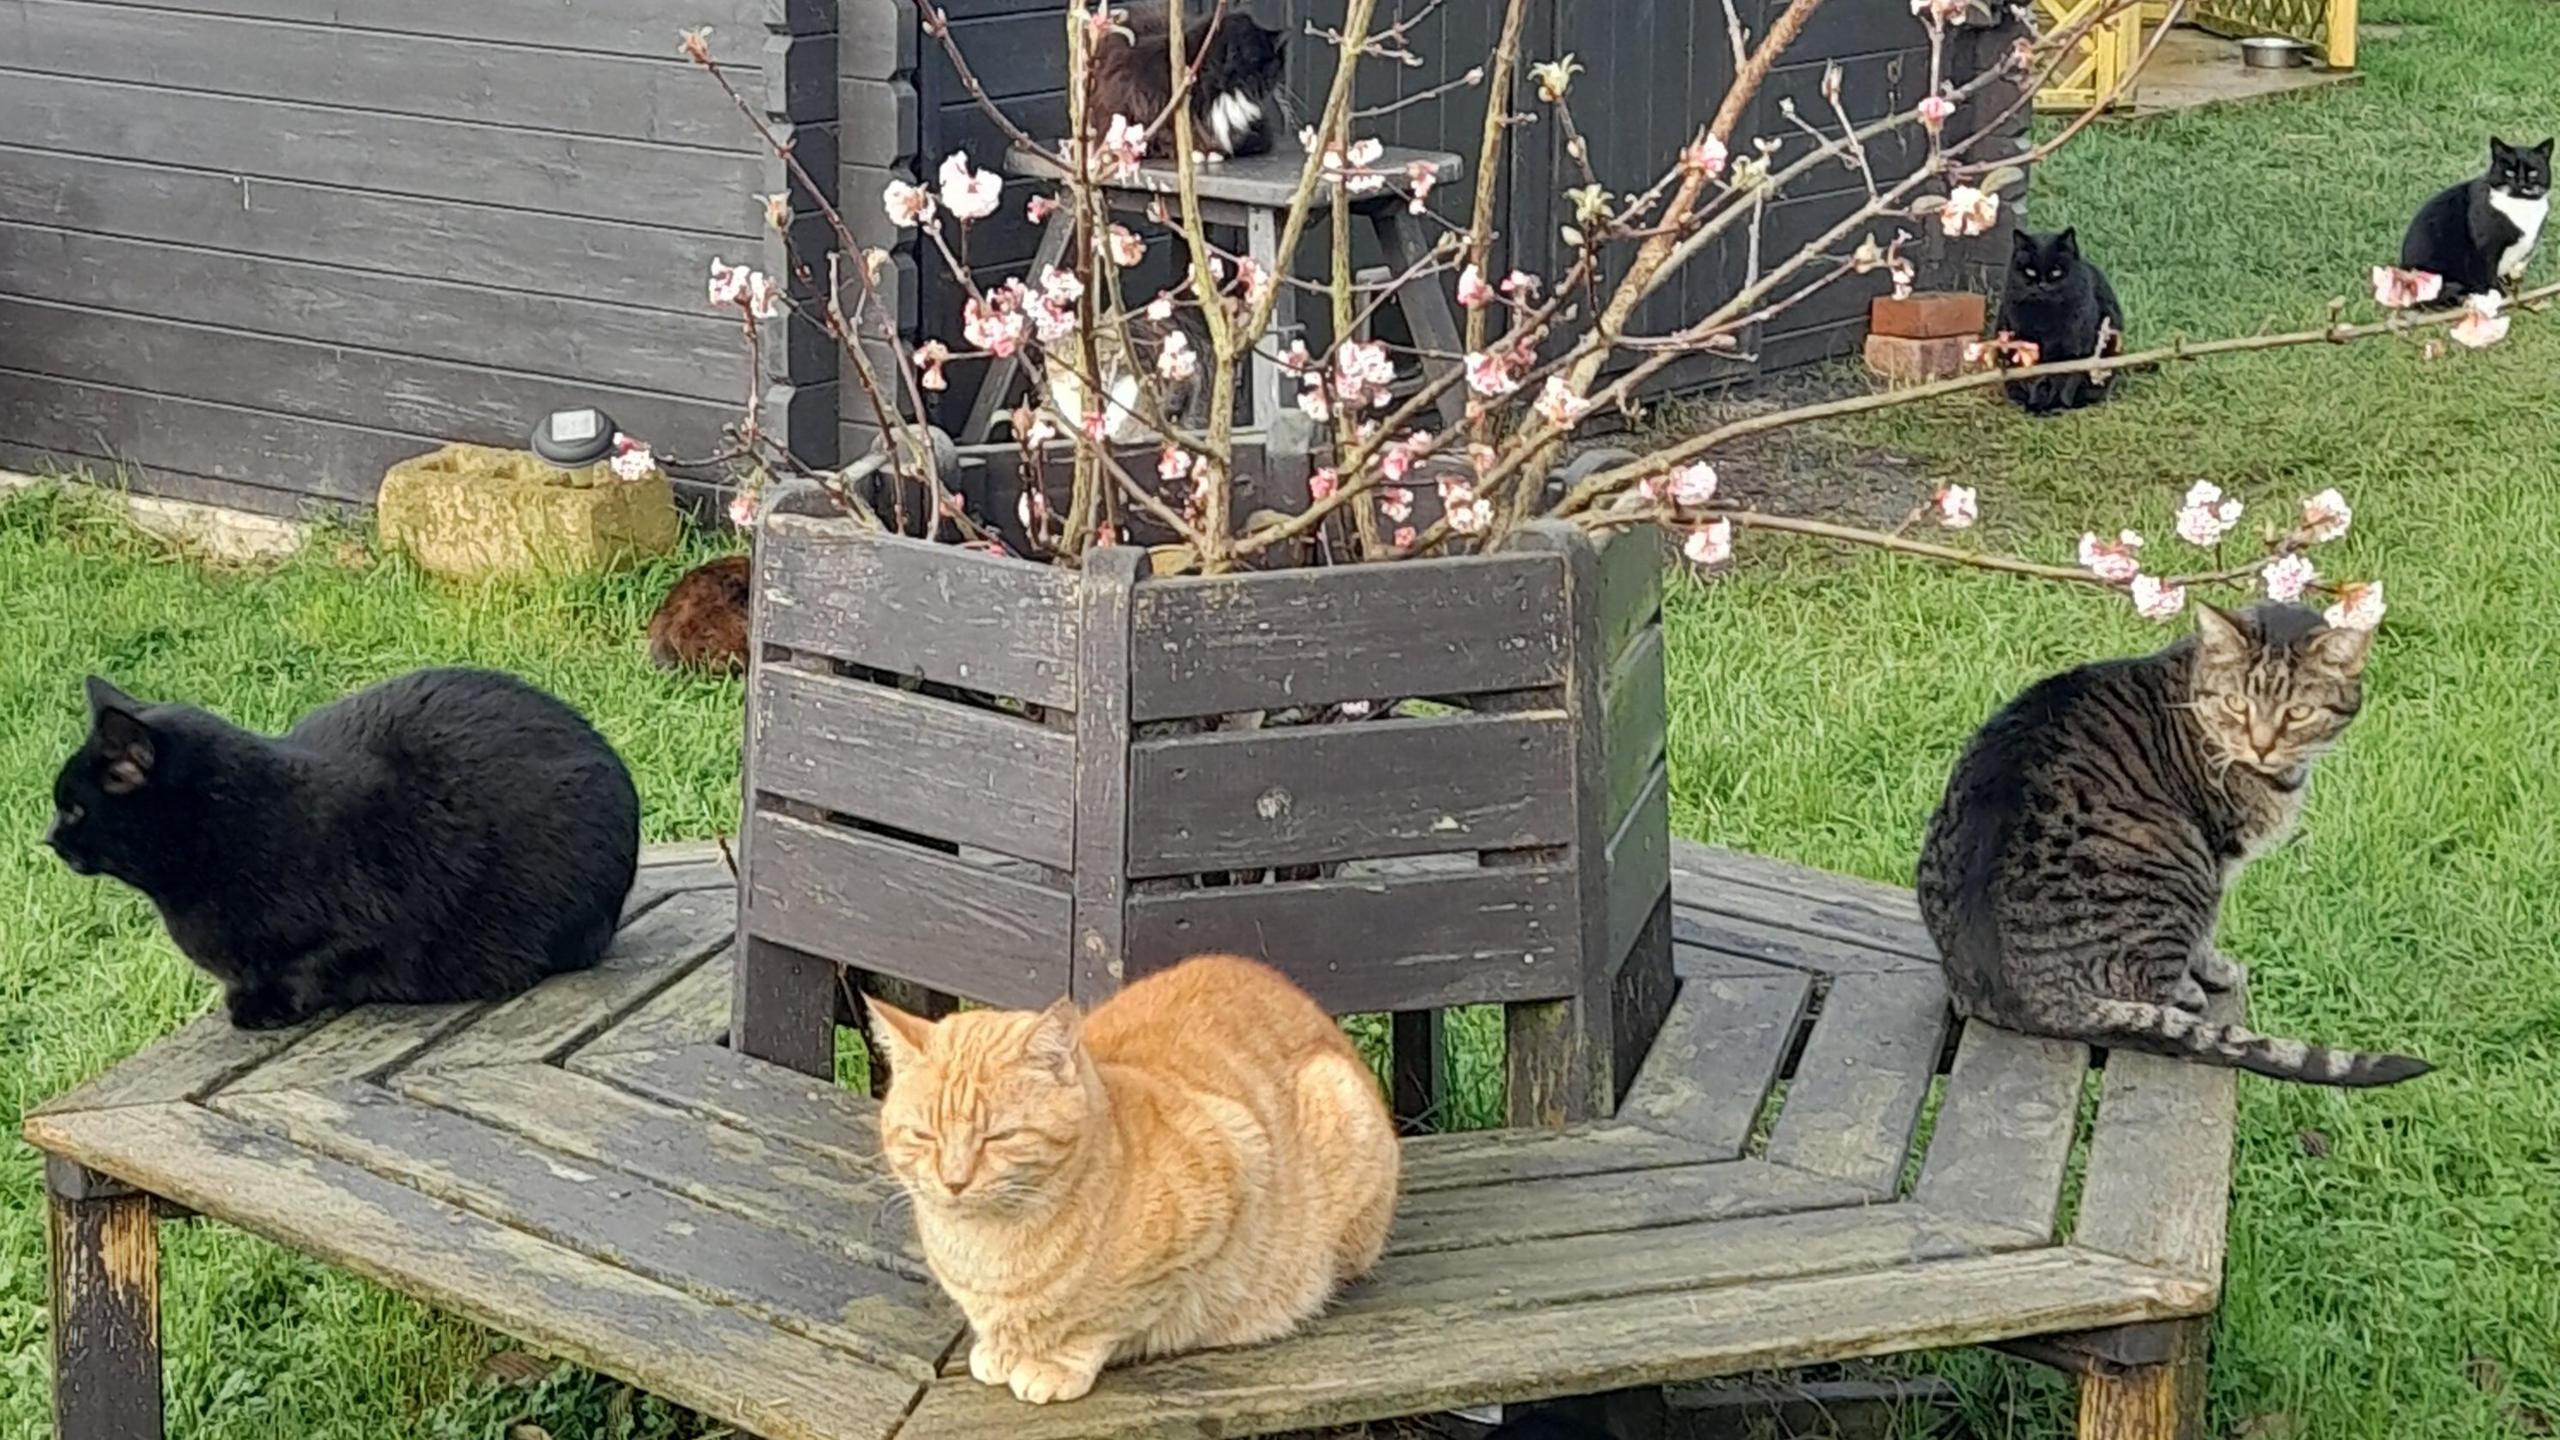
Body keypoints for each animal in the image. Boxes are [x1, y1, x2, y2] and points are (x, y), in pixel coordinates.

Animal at [875, 953, 1402, 1404]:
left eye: (999, 1136)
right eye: (924, 1135)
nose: (954, 1181)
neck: (988, 1248)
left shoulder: (1232, 1164)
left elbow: (1106, 1320)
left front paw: (1054, 1362)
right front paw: (1003, 1347)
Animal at [1925, 599, 2416, 1081]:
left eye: (2297, 712)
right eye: (2237, 703)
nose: (2260, 747)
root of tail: (2021, 993)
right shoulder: (2220, 858)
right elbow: (2207, 934)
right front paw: (2215, 970)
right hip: (2180, 871)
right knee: (2153, 985)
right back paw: (2187, 992)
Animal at [1986, 226, 2129, 412]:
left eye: (2056, 271)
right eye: (2030, 271)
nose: (2042, 285)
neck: (2046, 319)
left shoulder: (2074, 351)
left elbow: (2066, 383)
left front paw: (2059, 405)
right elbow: (2032, 381)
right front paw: (2036, 406)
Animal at [2385, 135, 2549, 301]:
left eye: (2533, 173)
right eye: (2509, 172)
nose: (2521, 183)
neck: (2521, 205)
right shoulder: (2486, 249)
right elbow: (2490, 277)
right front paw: (2501, 298)